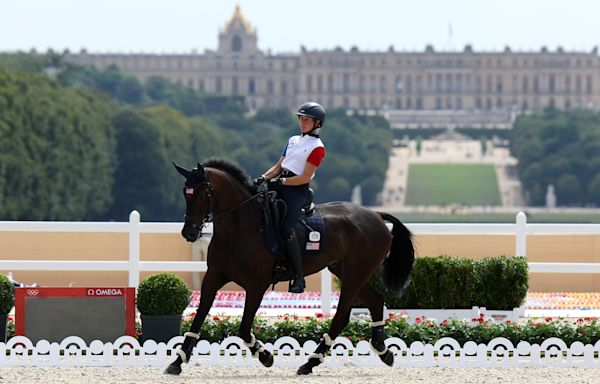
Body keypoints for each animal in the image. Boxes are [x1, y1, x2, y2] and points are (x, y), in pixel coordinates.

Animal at [166, 157, 414, 376]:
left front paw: (266, 356)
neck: (239, 228)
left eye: (201, 193)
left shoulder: (256, 285)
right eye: (185, 193)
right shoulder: (213, 278)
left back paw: (310, 363)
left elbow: (244, 329)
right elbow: (197, 319)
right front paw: (177, 362)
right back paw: (383, 352)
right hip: (345, 270)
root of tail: (376, 215)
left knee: (341, 316)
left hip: (356, 273)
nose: (189, 233)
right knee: (374, 302)